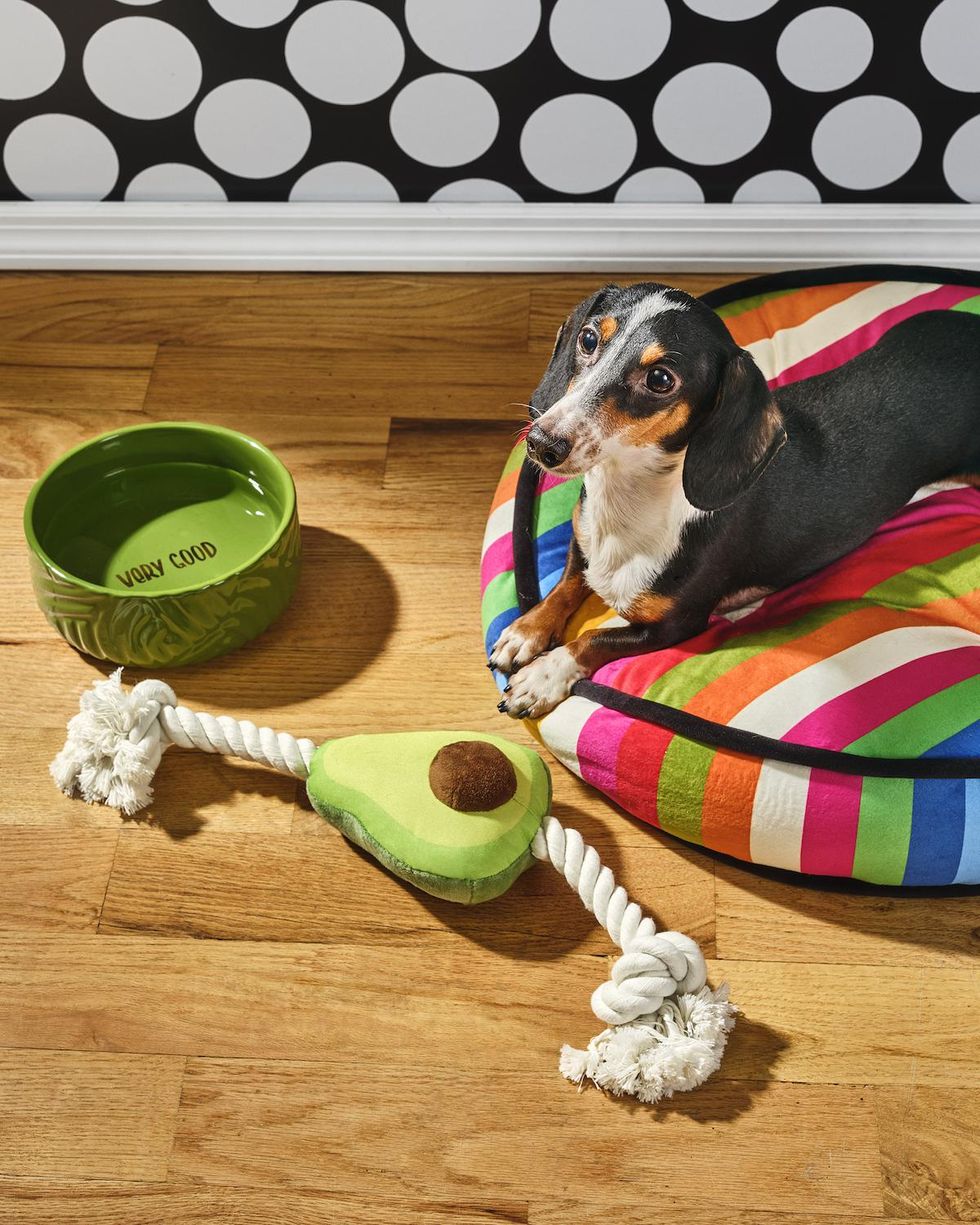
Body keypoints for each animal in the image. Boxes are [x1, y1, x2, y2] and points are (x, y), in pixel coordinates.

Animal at [494, 280, 980, 715]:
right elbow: (564, 584)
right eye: (589, 338)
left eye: (660, 379)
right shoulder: (584, 541)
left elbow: (595, 639)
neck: (629, 499)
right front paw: (525, 631)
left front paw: (544, 675)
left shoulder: (674, 626)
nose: (541, 443)